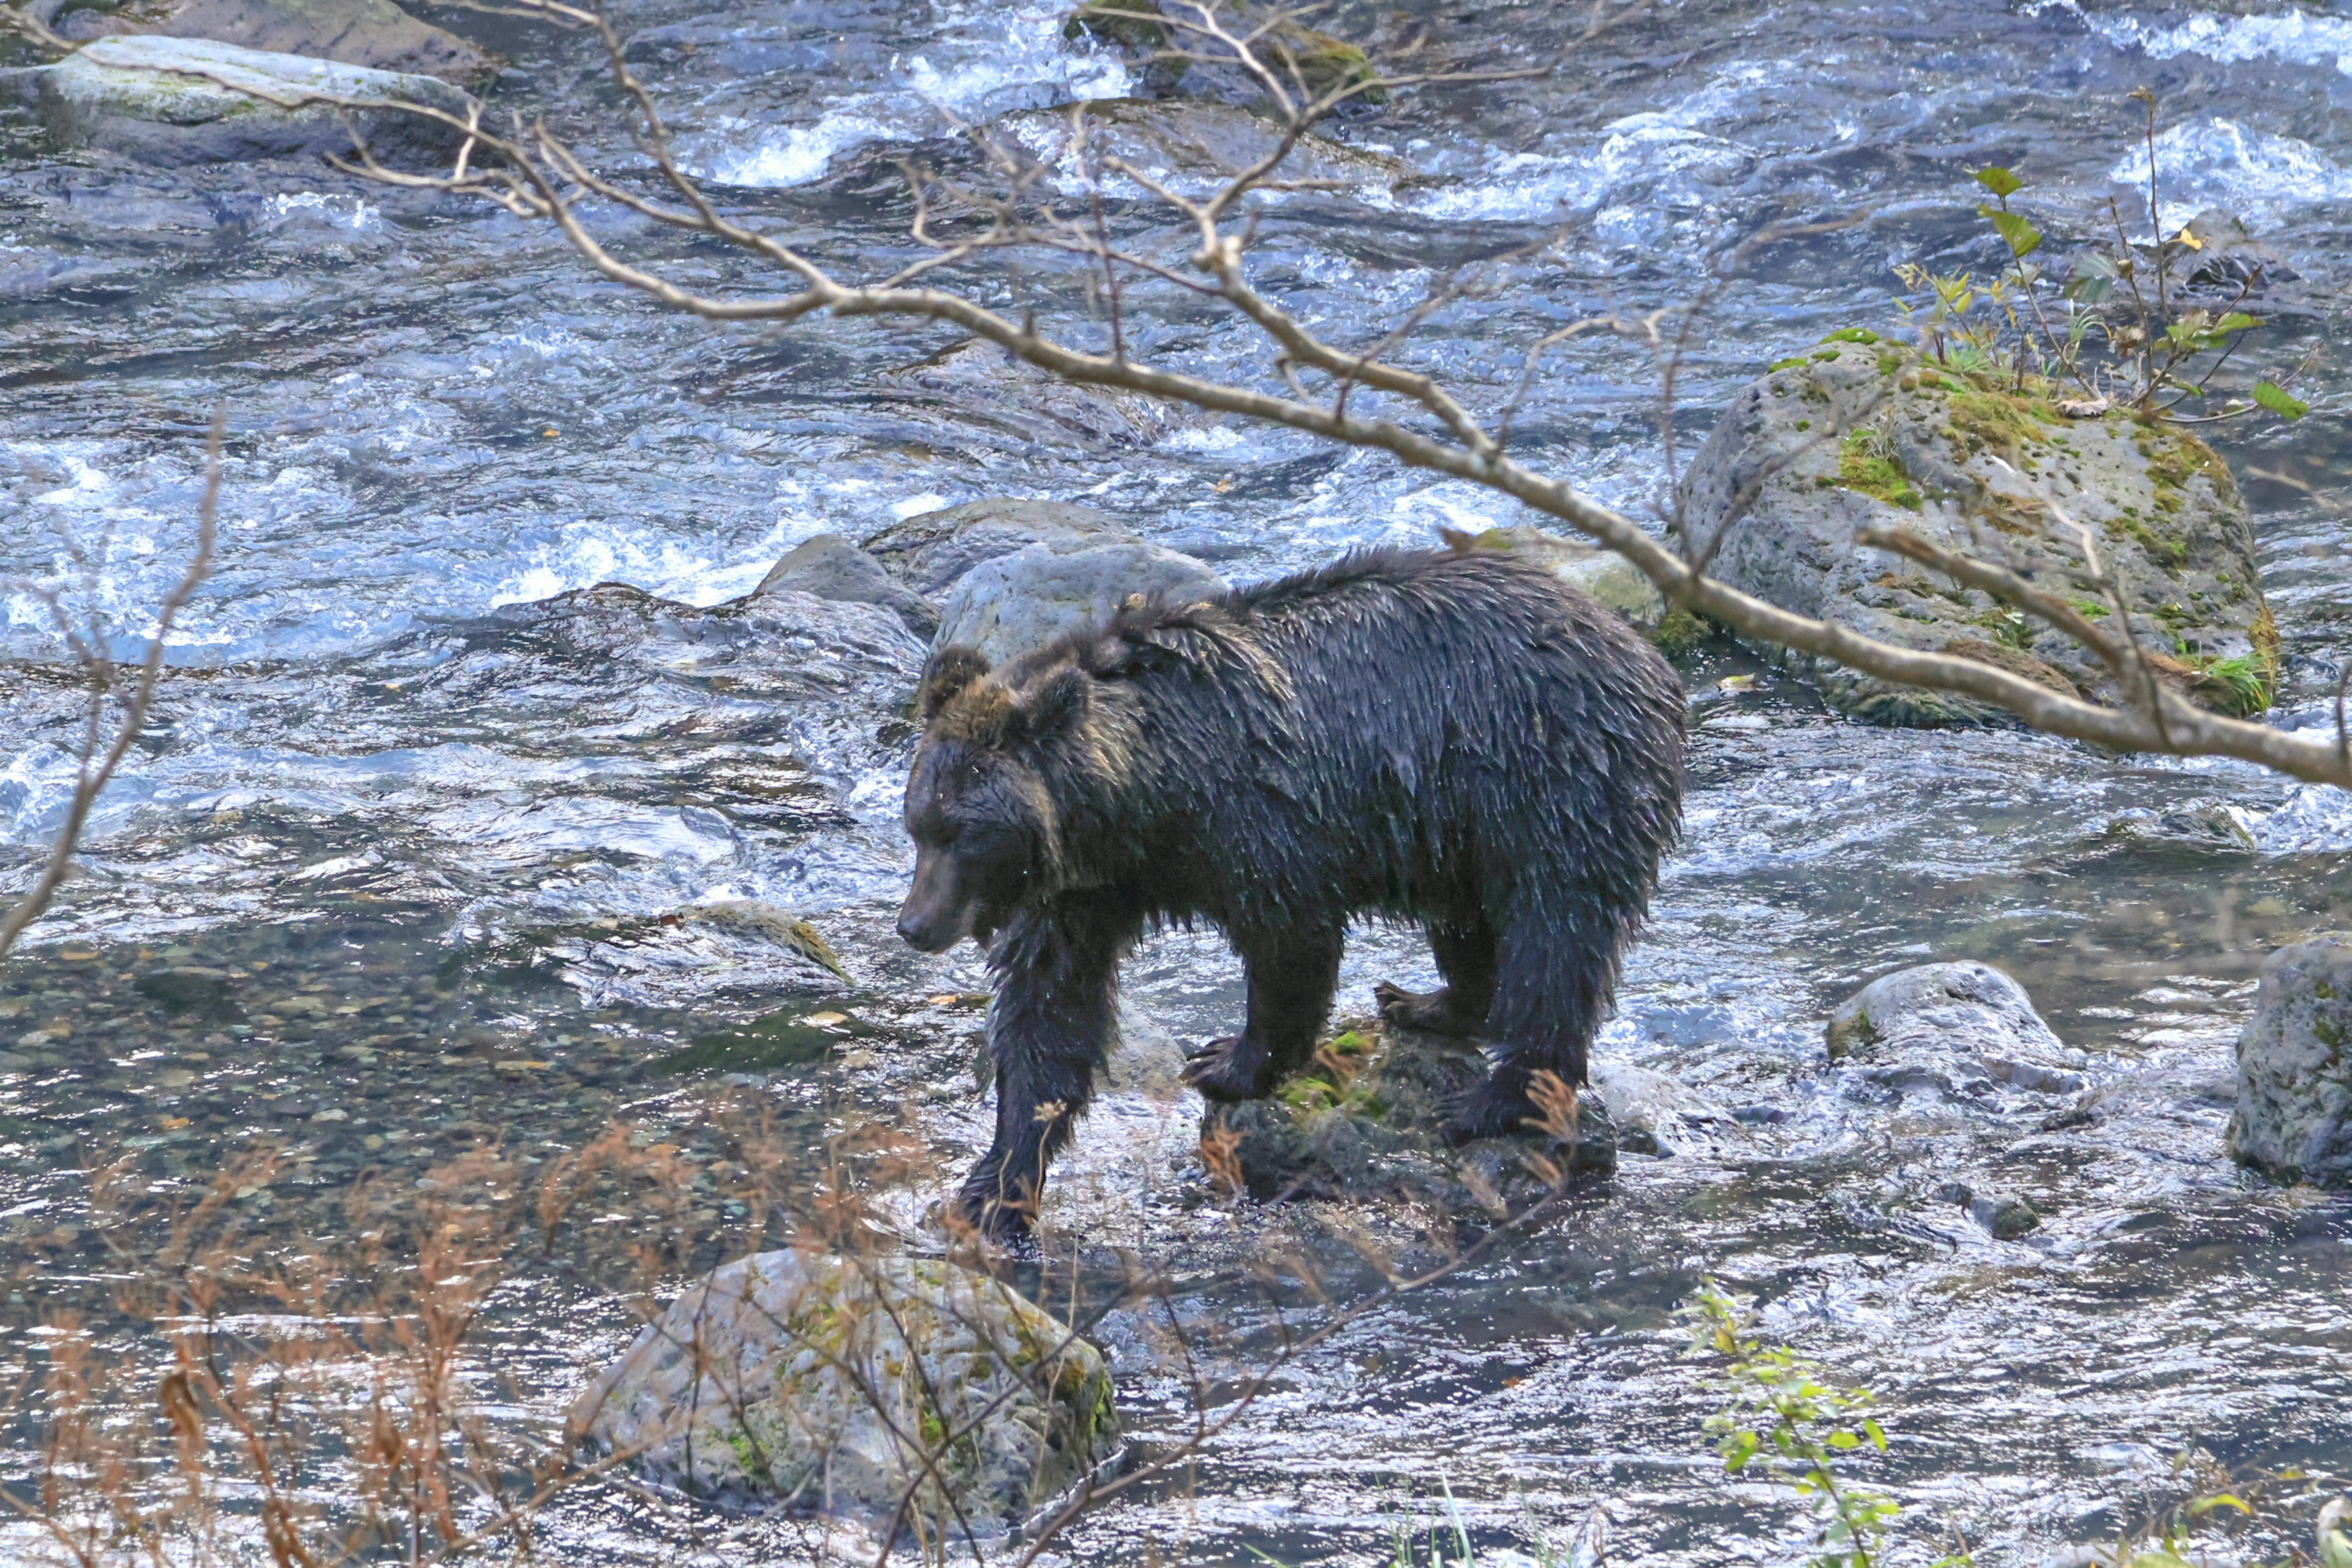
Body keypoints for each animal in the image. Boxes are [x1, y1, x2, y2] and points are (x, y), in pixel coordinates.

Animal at [898, 550, 1693, 1241]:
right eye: (919, 824)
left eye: (963, 833)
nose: (915, 924)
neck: (1143, 800)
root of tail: (1642, 653)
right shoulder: (1082, 893)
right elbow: (1047, 1014)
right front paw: (992, 1188)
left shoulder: (1261, 820)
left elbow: (1290, 944)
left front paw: (1228, 1061)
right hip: (1463, 827)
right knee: (1468, 923)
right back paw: (1425, 1002)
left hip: (1550, 779)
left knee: (1555, 937)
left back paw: (1500, 1094)